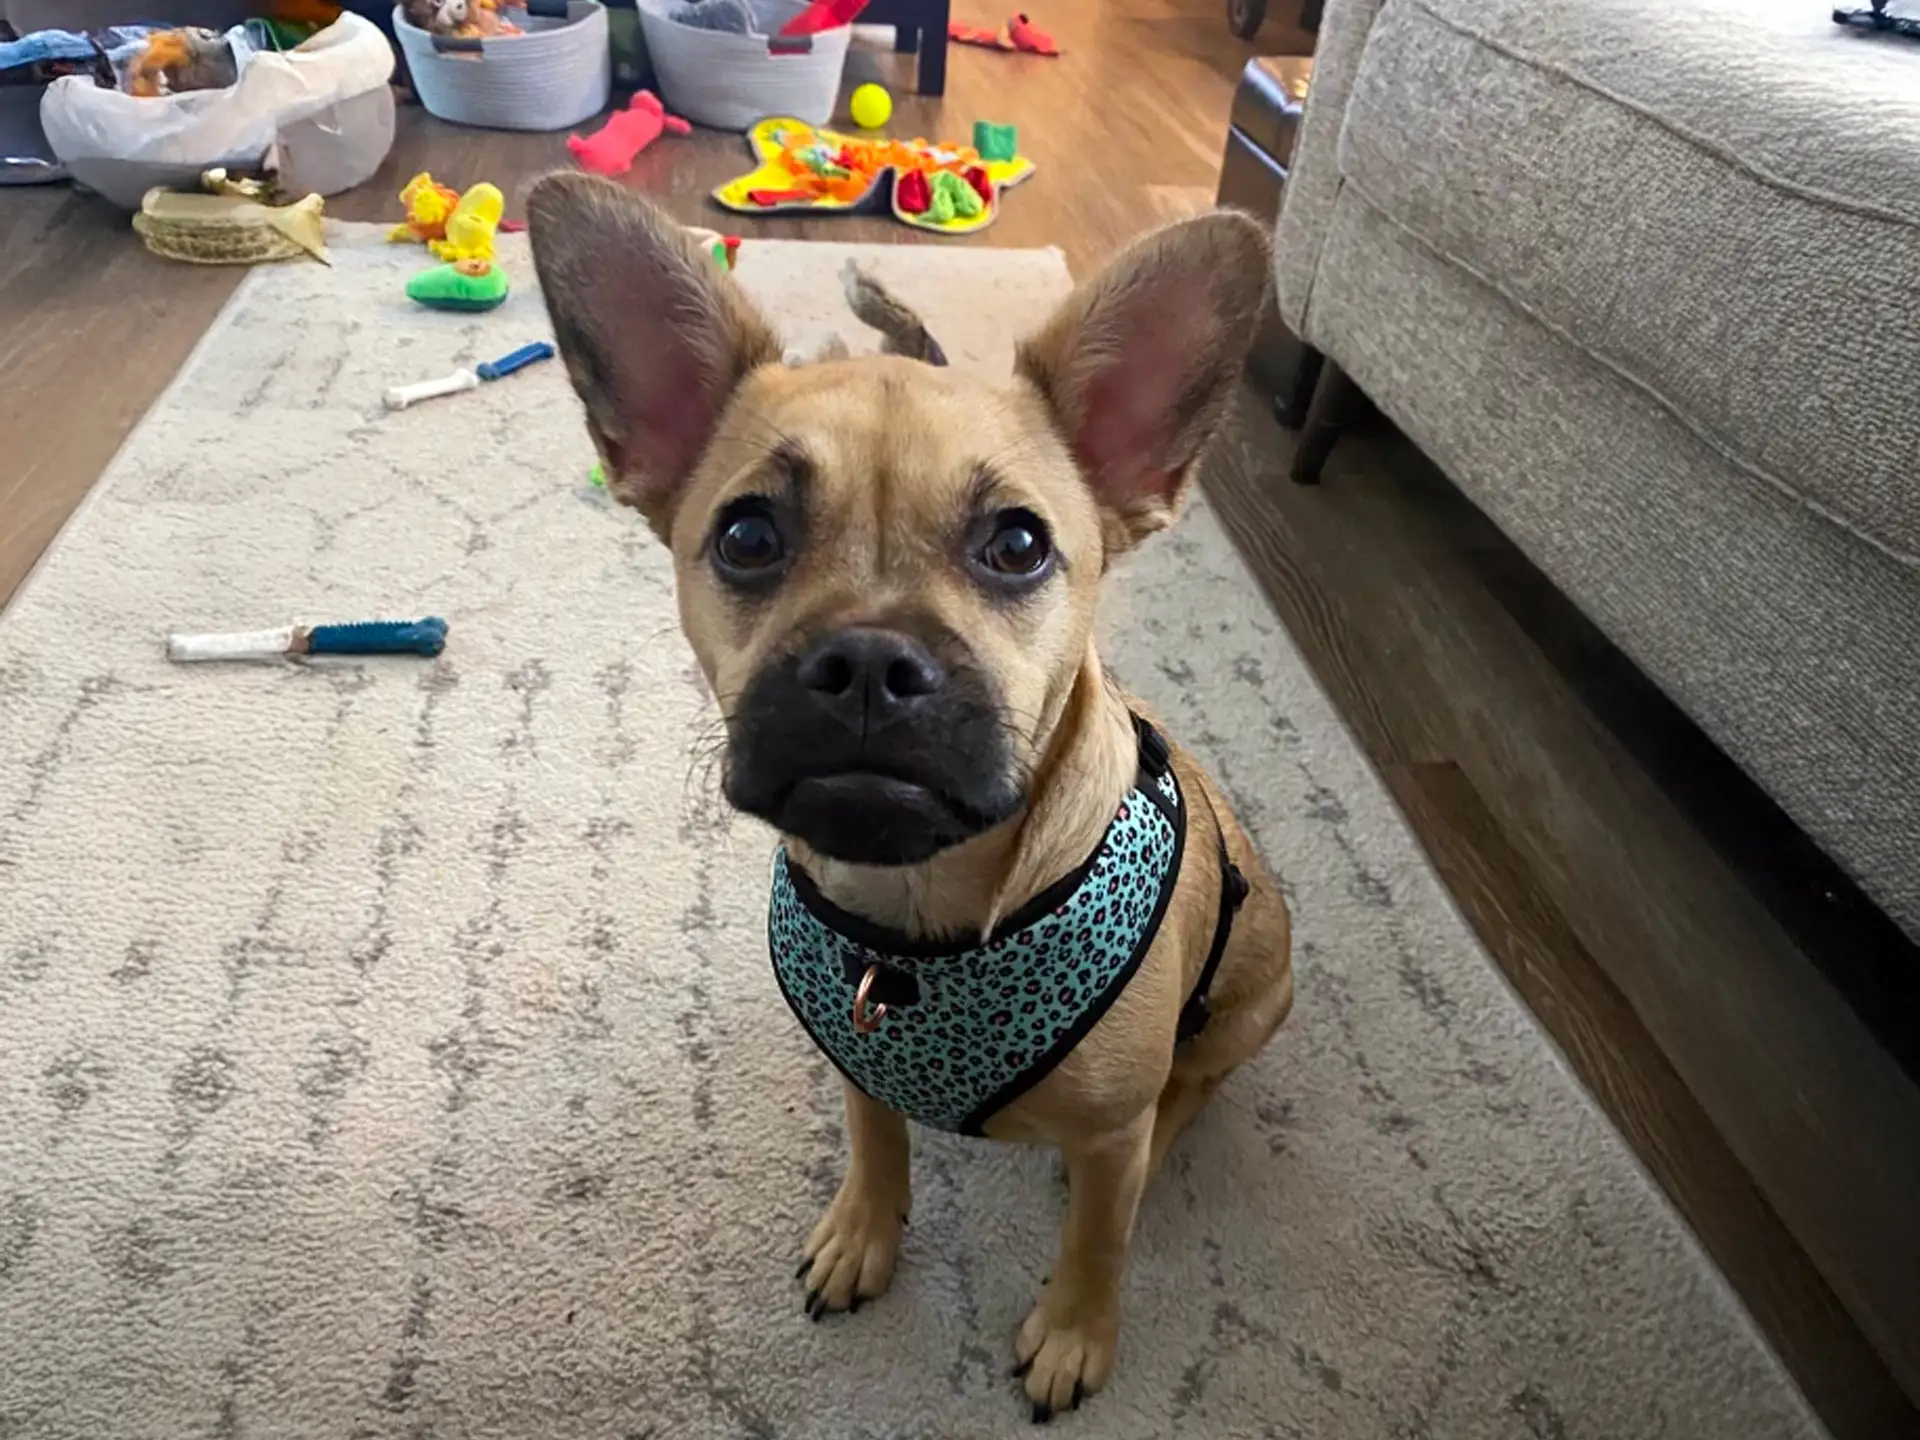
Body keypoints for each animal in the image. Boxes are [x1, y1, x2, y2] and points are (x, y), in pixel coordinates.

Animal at [526, 171, 1290, 1420]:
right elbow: (874, 1139)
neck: (916, 912)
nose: (871, 662)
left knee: (1184, 1097)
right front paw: (864, 1233)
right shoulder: (857, 1061)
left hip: (1256, 997)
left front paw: (1075, 1330)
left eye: (1018, 545)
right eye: (746, 535)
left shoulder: (1110, 1136)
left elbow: (1098, 1241)